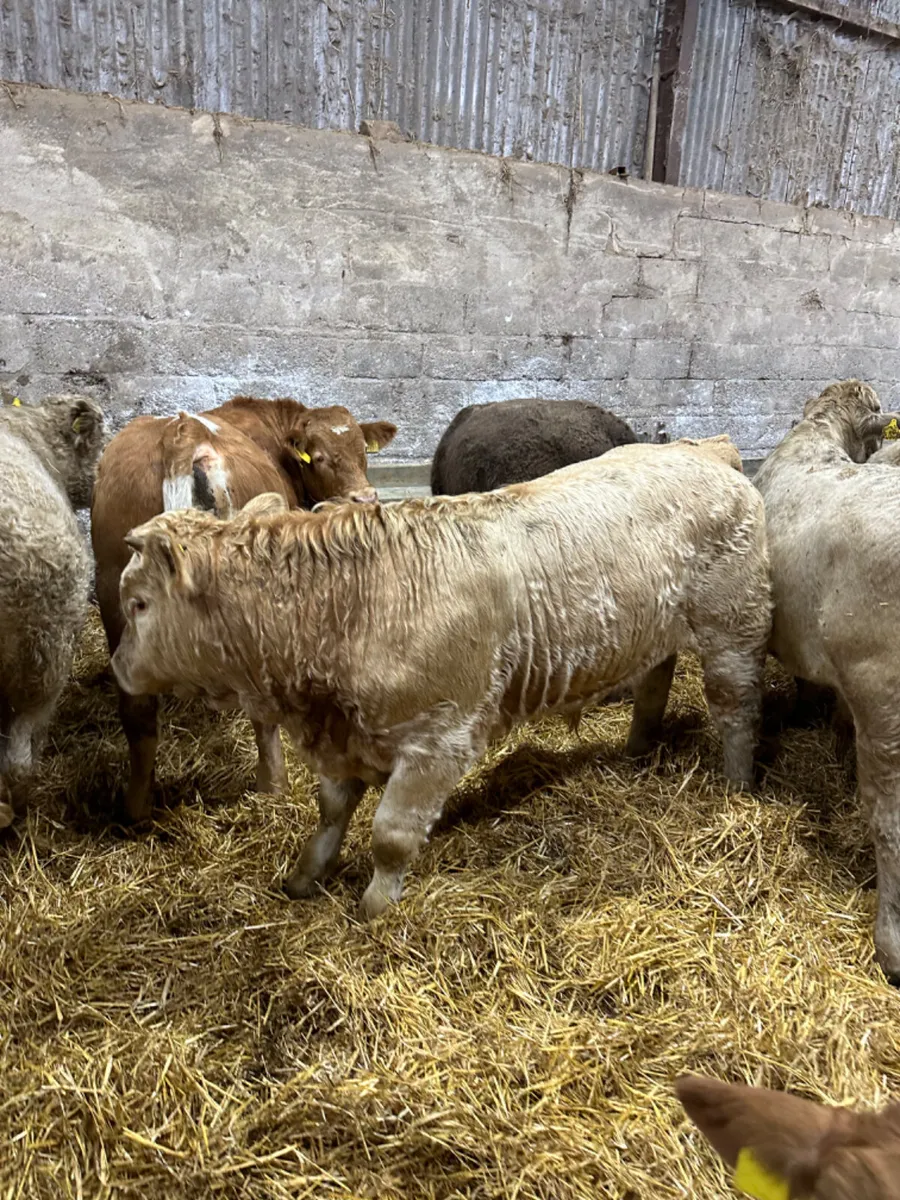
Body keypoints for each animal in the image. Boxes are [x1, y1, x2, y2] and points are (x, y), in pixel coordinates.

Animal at [91, 394, 396, 822]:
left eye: (362, 452)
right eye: (317, 457)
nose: (365, 499)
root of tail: (182, 433)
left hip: (113, 586)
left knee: (138, 711)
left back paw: (135, 807)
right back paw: (273, 787)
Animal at [109, 437, 771, 918]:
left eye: (138, 603)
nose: (116, 667)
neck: (349, 603)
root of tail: (705, 450)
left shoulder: (438, 739)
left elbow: (392, 834)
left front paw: (375, 906)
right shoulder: (345, 735)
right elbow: (329, 812)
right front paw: (304, 876)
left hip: (733, 627)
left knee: (736, 706)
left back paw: (736, 789)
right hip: (655, 628)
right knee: (655, 681)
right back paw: (637, 749)